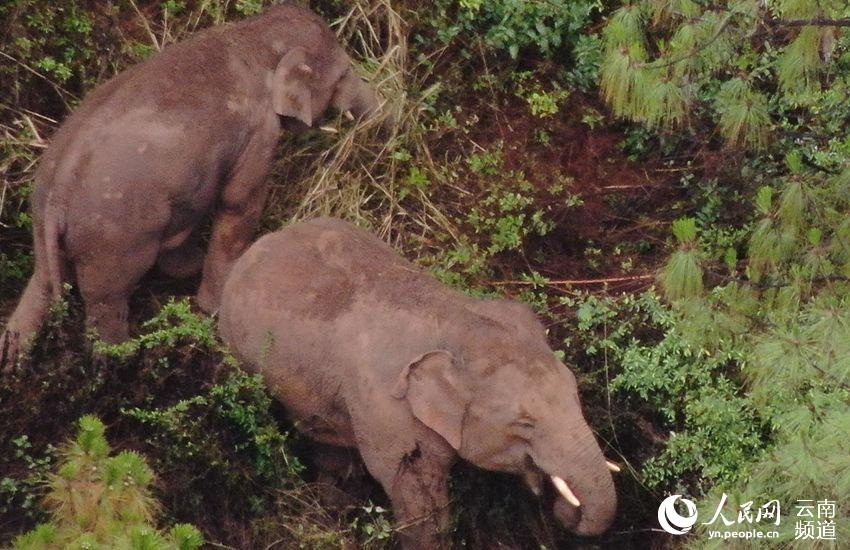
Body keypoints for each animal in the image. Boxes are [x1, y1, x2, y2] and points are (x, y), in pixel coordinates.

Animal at [0, 4, 378, 368]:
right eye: (344, 72)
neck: (254, 34)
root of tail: (55, 201)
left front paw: (189, 266)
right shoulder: (257, 133)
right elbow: (239, 202)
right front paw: (214, 309)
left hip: (43, 224)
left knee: (42, 283)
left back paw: (13, 362)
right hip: (111, 242)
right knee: (106, 300)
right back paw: (121, 362)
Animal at [217, 217, 618, 549]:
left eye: (576, 396)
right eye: (525, 423)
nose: (563, 510)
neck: (457, 323)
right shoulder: (385, 408)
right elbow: (412, 488)